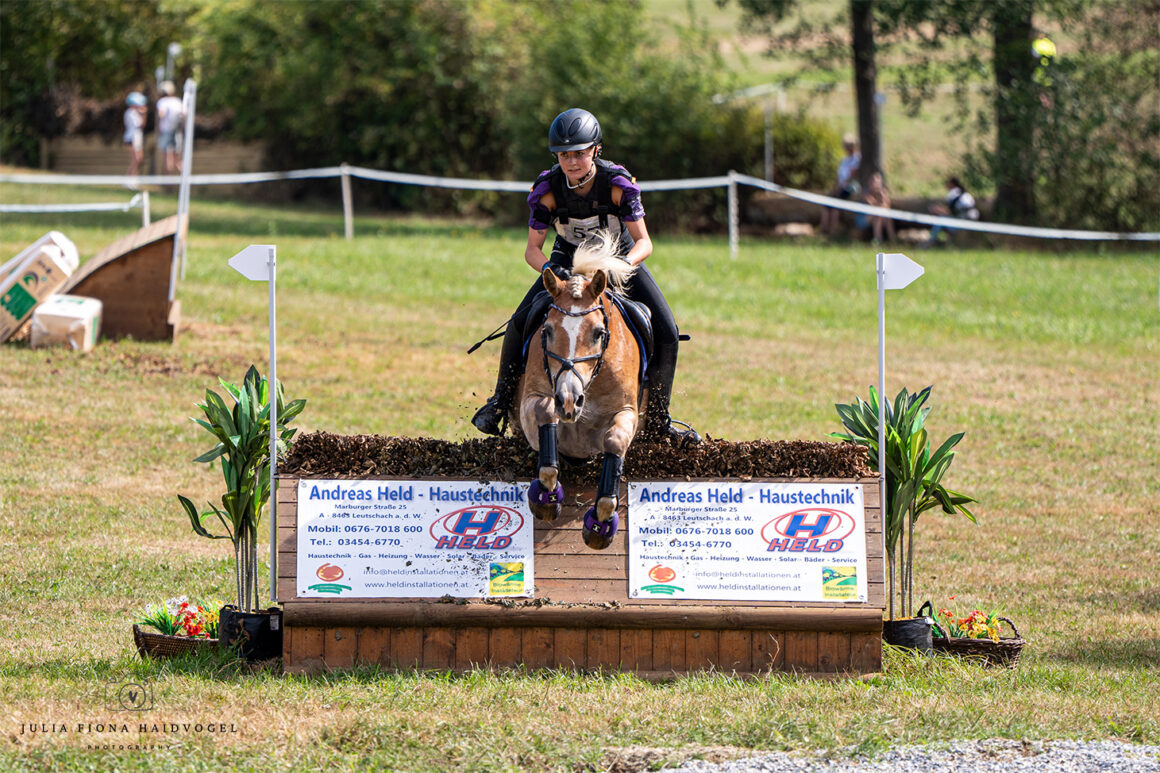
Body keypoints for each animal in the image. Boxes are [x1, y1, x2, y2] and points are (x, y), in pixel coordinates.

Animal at [515, 229, 649, 547]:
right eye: (547, 330)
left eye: (599, 333)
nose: (568, 400)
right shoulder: (532, 400)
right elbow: (544, 413)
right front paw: (547, 495)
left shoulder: (627, 411)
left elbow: (615, 440)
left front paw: (601, 522)